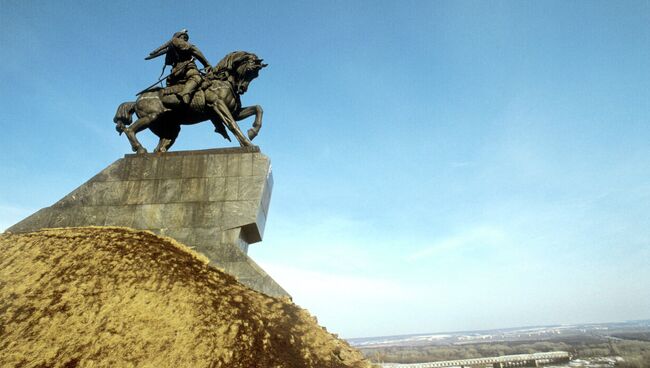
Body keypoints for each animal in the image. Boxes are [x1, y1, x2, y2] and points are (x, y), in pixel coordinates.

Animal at [115, 51, 268, 153]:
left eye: (256, 74)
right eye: (250, 70)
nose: (242, 89)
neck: (223, 81)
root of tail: (136, 101)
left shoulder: (235, 112)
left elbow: (258, 108)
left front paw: (253, 131)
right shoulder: (218, 105)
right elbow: (232, 124)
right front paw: (247, 143)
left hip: (170, 128)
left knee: (159, 148)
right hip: (152, 117)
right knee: (130, 130)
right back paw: (139, 149)